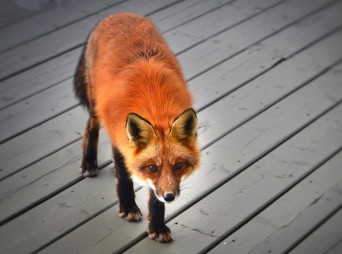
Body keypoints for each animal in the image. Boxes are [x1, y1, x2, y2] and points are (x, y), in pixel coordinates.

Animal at [73, 12, 199, 243]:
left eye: (179, 166)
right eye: (152, 167)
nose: (170, 197)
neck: (154, 105)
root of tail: (117, 14)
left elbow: (154, 197)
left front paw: (157, 226)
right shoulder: (119, 137)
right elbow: (124, 180)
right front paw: (128, 208)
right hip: (97, 104)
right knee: (91, 126)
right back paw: (89, 162)